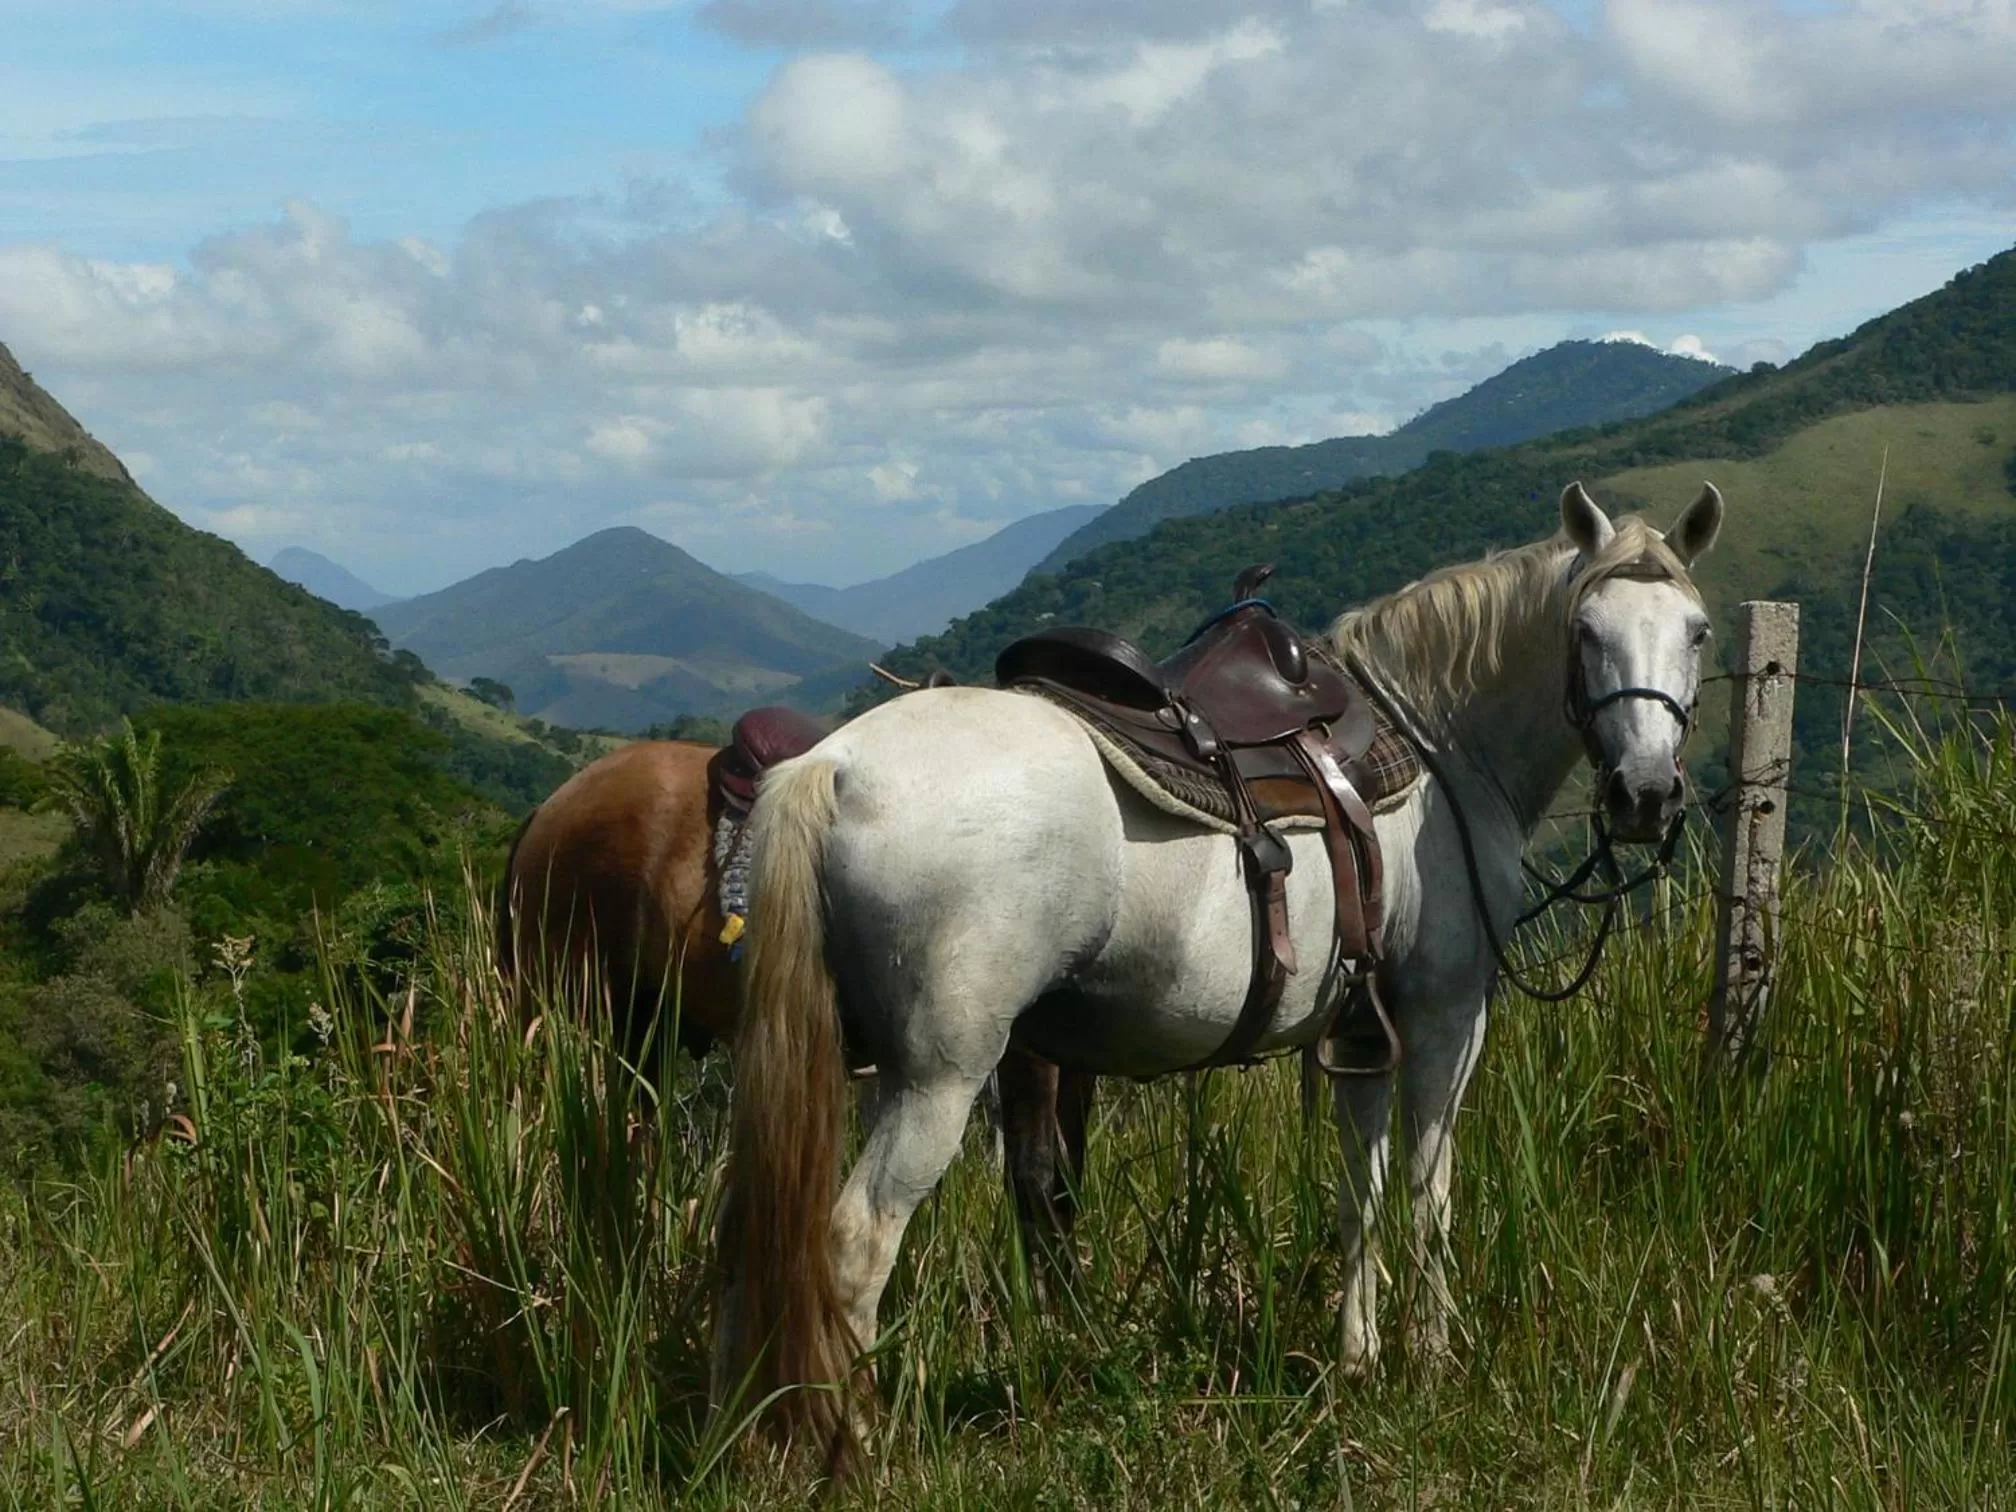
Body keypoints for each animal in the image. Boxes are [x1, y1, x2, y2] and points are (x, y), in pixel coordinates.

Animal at [713, 481, 1725, 1466]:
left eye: (1697, 630)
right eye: (1585, 630)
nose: (1645, 794)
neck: (1439, 746)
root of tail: (833, 765)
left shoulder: (1362, 1029)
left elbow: (1360, 1189)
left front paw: (1358, 1357)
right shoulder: (1445, 1016)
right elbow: (1428, 1191)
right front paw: (1432, 1360)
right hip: (937, 1077)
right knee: (853, 1242)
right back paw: (856, 1444)